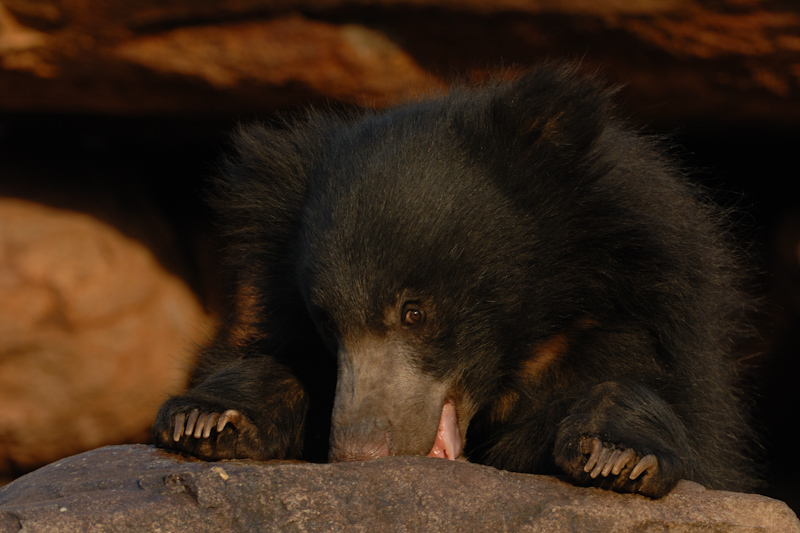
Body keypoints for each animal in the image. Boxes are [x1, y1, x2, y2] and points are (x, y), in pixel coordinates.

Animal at [153, 64, 760, 496]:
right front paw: (205, 418)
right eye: (328, 324)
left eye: (414, 312)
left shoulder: (638, 311)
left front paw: (617, 452)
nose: (359, 453)